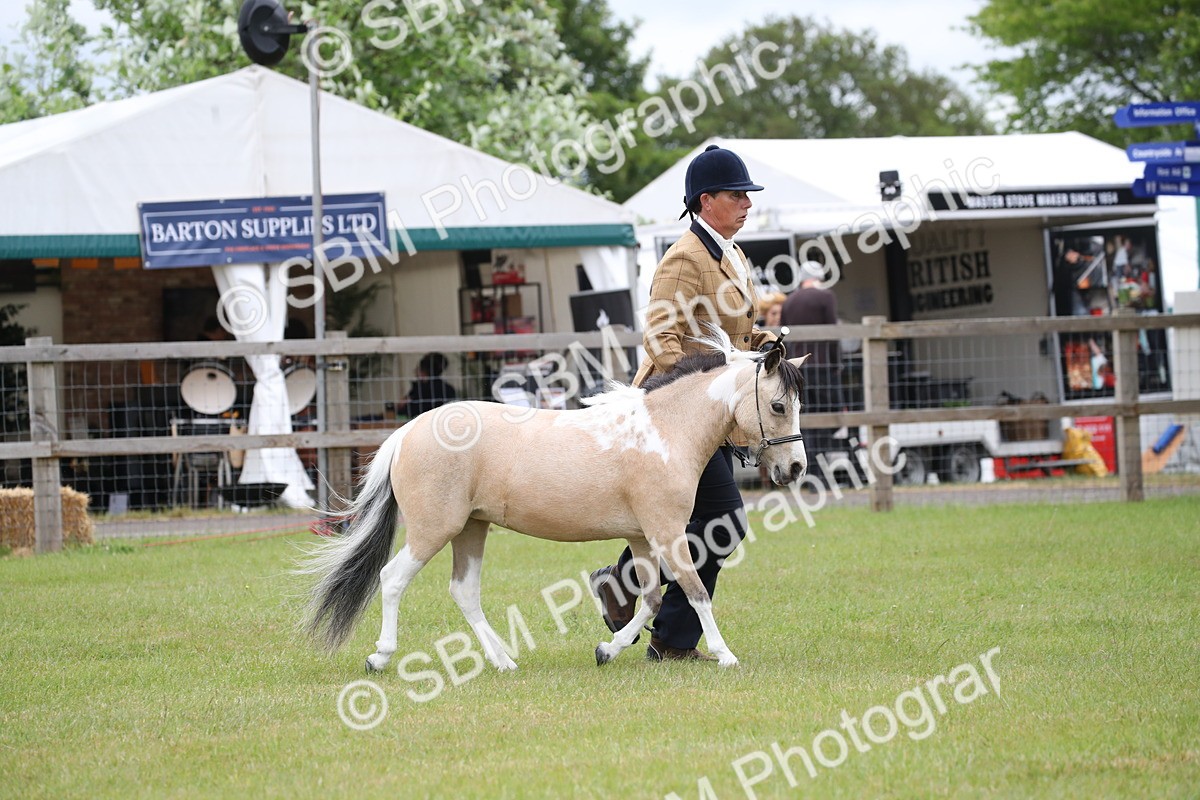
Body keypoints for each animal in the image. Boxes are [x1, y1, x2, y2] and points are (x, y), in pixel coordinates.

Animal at [301, 328, 809, 670]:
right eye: (778, 405)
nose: (795, 468)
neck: (664, 432)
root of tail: (408, 430)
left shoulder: (642, 537)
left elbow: (649, 598)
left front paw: (607, 649)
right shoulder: (667, 532)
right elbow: (695, 590)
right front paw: (725, 654)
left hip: (471, 528)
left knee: (464, 591)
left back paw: (503, 660)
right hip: (434, 529)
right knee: (392, 579)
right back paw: (381, 657)